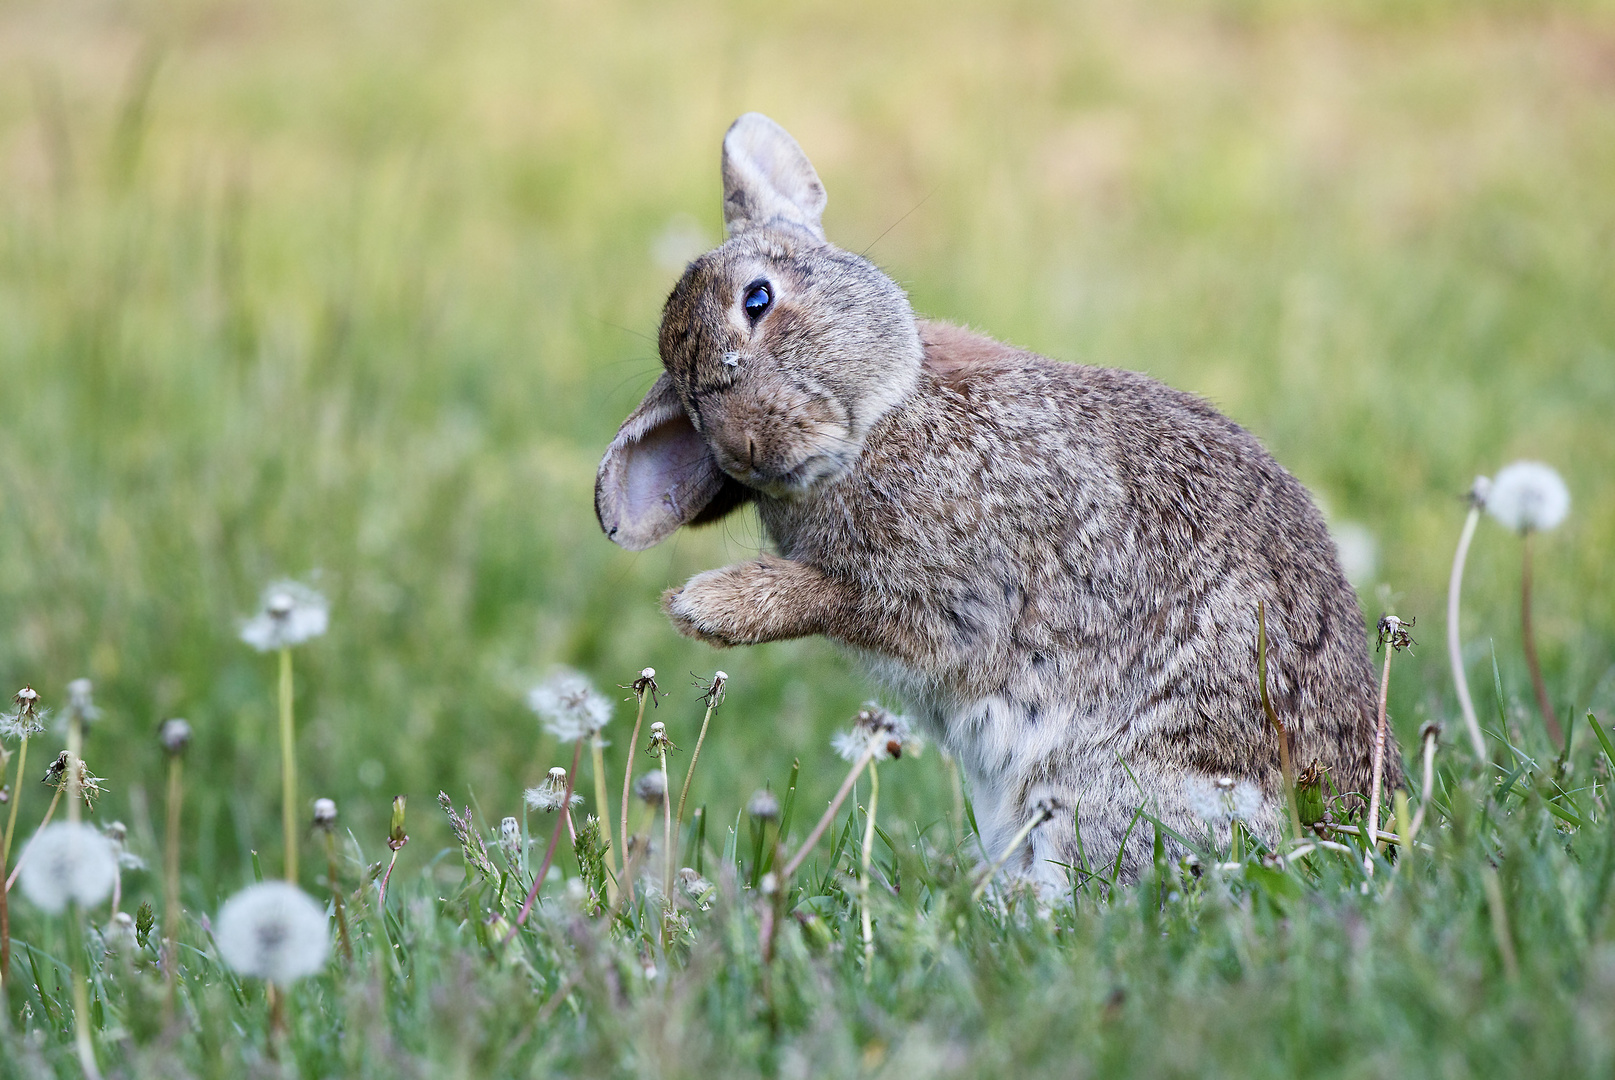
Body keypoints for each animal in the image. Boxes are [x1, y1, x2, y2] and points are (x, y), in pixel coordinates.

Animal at [594, 111, 1401, 884]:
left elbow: (832, 598)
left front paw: (703, 607)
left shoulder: (952, 598)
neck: (889, 410)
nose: (745, 447)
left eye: (757, 299)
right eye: (688, 400)